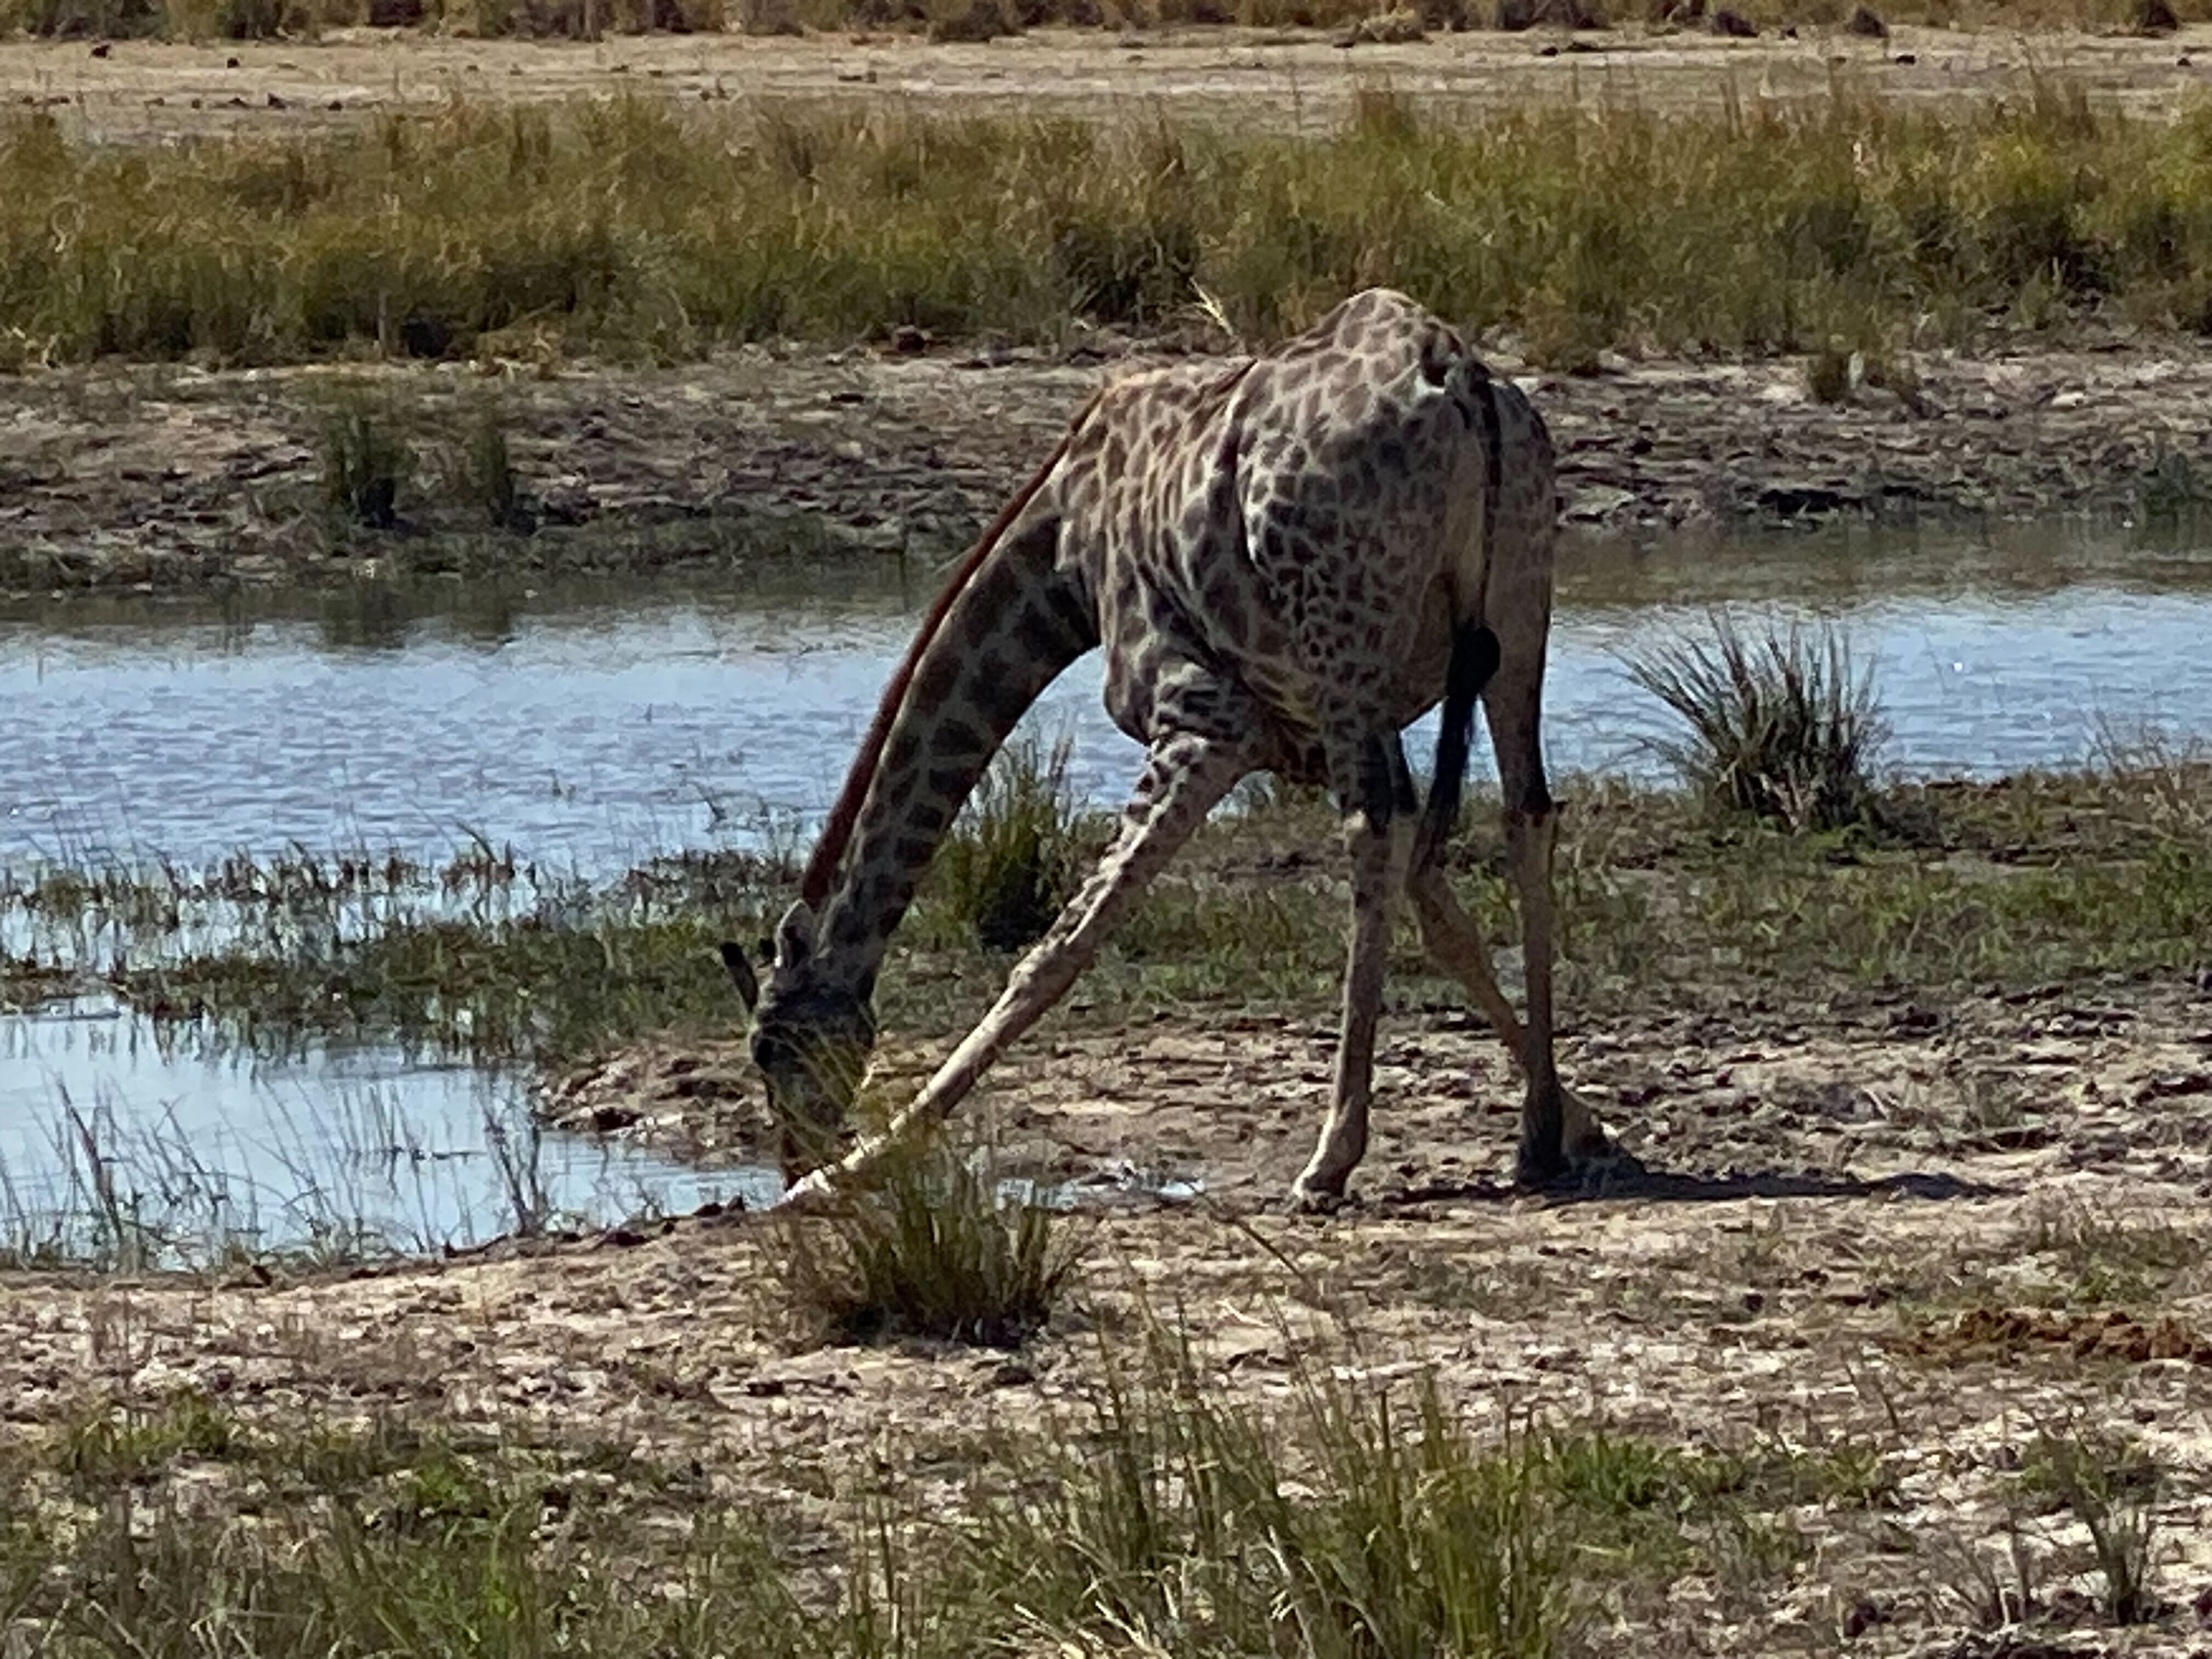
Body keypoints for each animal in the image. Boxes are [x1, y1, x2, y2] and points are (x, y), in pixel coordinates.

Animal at [722, 288, 1620, 1210]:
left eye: (769, 1047)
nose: (793, 1153)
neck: (1064, 552)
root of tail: (1453, 371)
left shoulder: (1204, 716)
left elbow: (1064, 942)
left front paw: (851, 1169)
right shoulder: (1308, 733)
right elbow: (1440, 911)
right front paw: (1581, 1121)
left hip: (1350, 651)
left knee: (1372, 830)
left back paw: (1329, 1157)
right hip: (1516, 613)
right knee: (1526, 814)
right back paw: (1532, 1137)